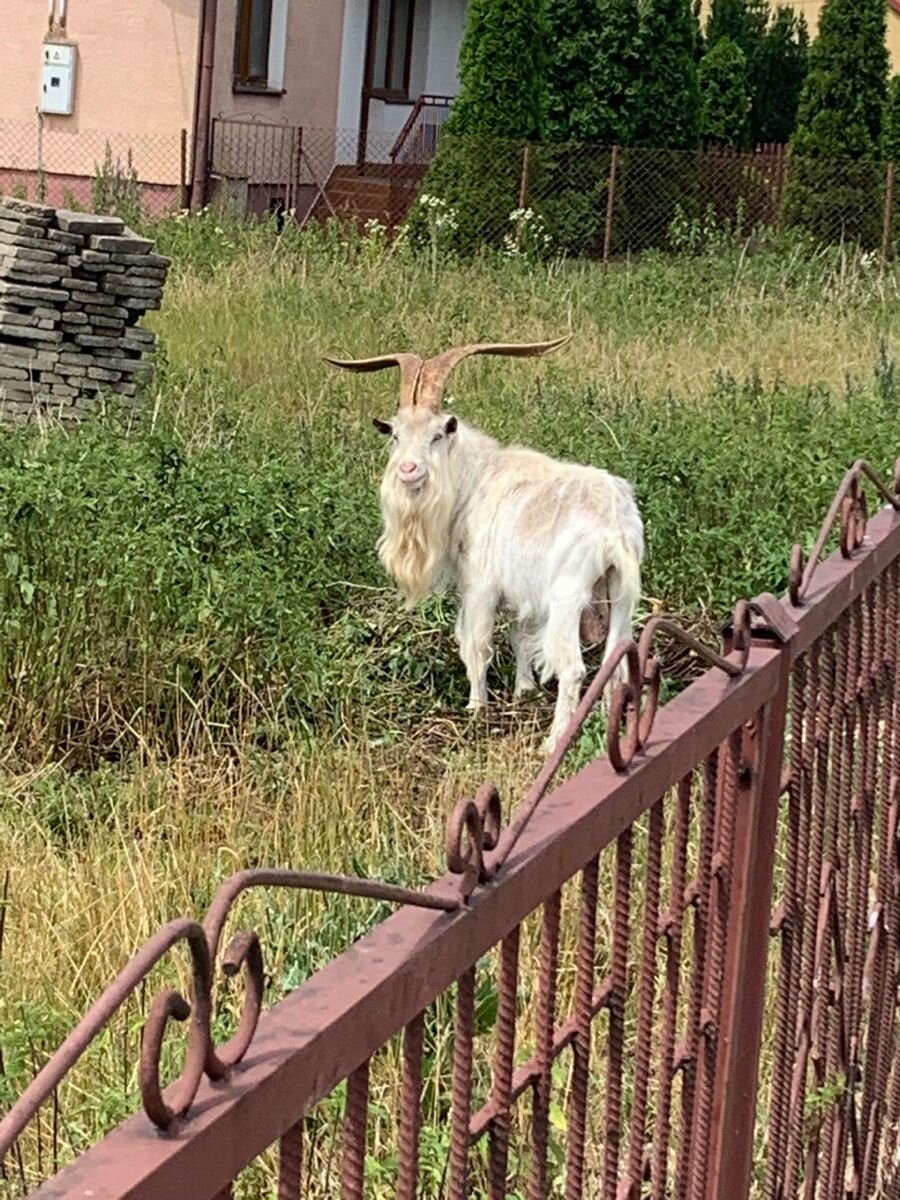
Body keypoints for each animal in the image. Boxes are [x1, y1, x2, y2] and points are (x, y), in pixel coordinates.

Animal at [328, 338, 643, 748]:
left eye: (437, 434)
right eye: (396, 435)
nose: (408, 470)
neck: (473, 478)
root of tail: (613, 525)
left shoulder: (479, 586)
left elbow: (477, 644)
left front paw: (476, 707)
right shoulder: (525, 593)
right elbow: (519, 637)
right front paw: (524, 690)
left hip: (568, 594)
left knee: (573, 668)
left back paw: (554, 740)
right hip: (620, 592)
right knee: (614, 660)